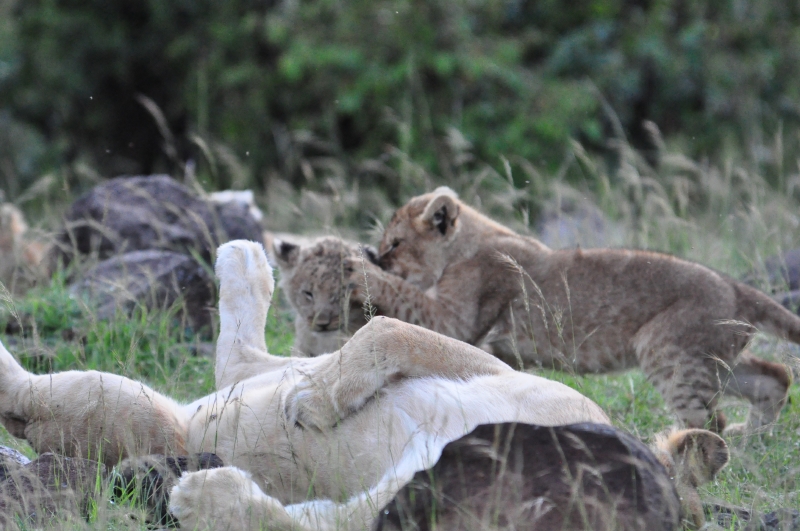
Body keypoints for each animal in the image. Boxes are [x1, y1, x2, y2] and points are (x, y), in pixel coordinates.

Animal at [0, 240, 726, 529]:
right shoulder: (509, 374)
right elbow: (386, 327)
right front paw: (317, 400)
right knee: (241, 359)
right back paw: (246, 263)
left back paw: (206, 486)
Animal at [356, 187, 795, 436]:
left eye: (396, 244)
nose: (378, 253)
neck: (469, 242)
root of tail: (736, 288)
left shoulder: (457, 318)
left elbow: (404, 294)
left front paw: (357, 264)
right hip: (715, 358)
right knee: (776, 376)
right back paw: (751, 439)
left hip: (667, 351)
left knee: (707, 421)